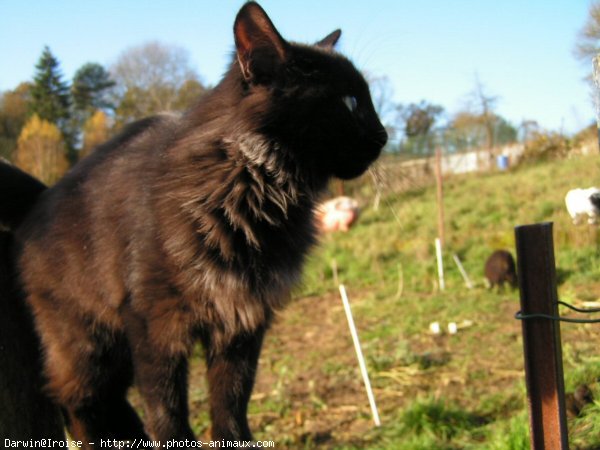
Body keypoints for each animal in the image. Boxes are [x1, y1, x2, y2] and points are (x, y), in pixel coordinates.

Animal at [2, 0, 386, 446]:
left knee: (110, 400)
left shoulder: (242, 323)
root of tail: (39, 196)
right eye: (349, 102)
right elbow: (167, 409)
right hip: (85, 338)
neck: (251, 191)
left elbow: (231, 403)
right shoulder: (155, 324)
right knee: (77, 400)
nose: (384, 135)